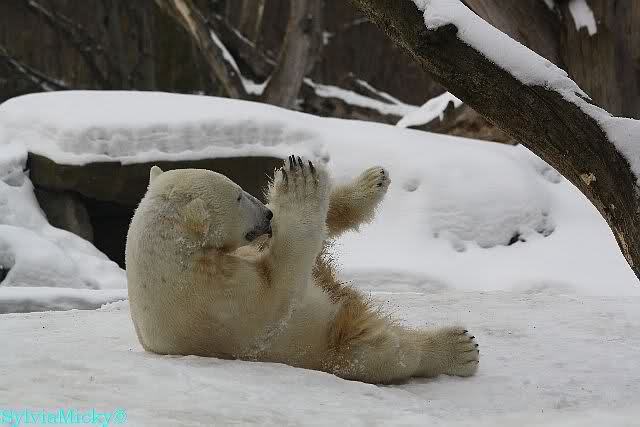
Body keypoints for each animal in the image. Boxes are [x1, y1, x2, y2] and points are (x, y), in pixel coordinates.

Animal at [125, 156, 479, 384]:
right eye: (238, 196)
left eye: (237, 188)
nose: (266, 215)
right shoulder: (221, 304)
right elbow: (281, 287)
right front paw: (299, 187)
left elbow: (276, 250)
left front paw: (299, 178)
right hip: (327, 345)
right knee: (380, 353)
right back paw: (459, 349)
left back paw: (370, 183)